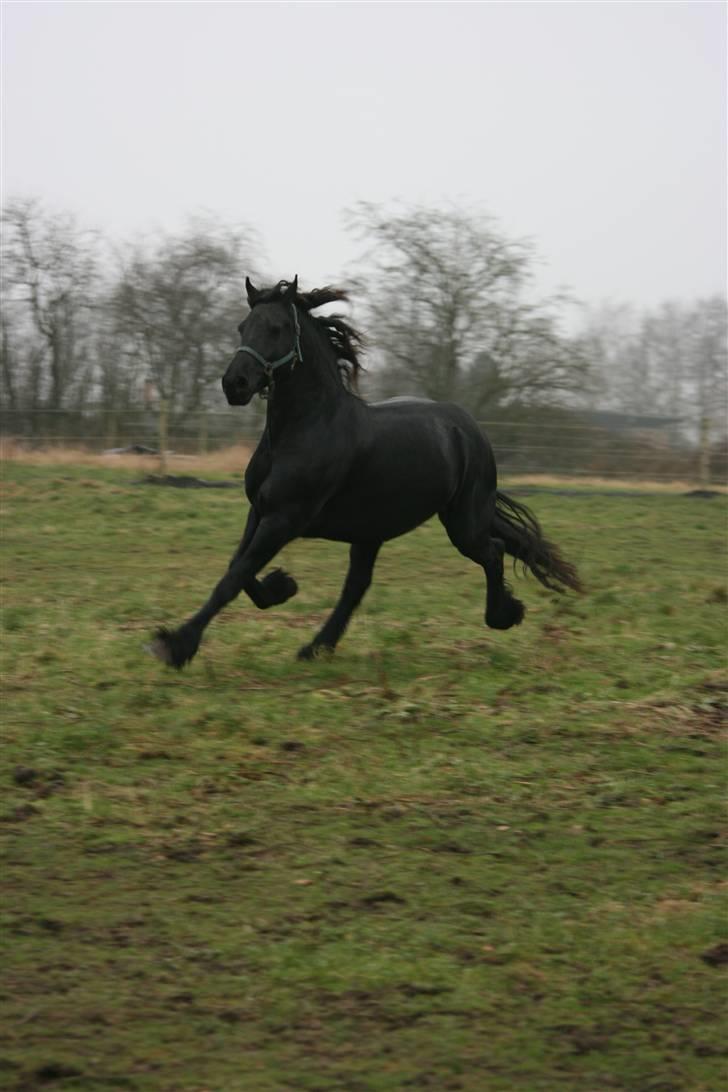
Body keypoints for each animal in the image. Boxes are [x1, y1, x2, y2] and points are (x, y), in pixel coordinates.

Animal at [152, 277, 580, 668]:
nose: (234, 384)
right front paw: (282, 586)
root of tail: (468, 428)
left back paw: (503, 615)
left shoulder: (285, 518)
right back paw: (316, 647)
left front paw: (175, 644)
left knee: (492, 551)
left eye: (277, 327)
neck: (303, 428)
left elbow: (234, 578)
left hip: (462, 522)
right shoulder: (260, 510)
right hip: (374, 529)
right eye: (243, 327)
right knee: (359, 585)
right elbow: (239, 570)